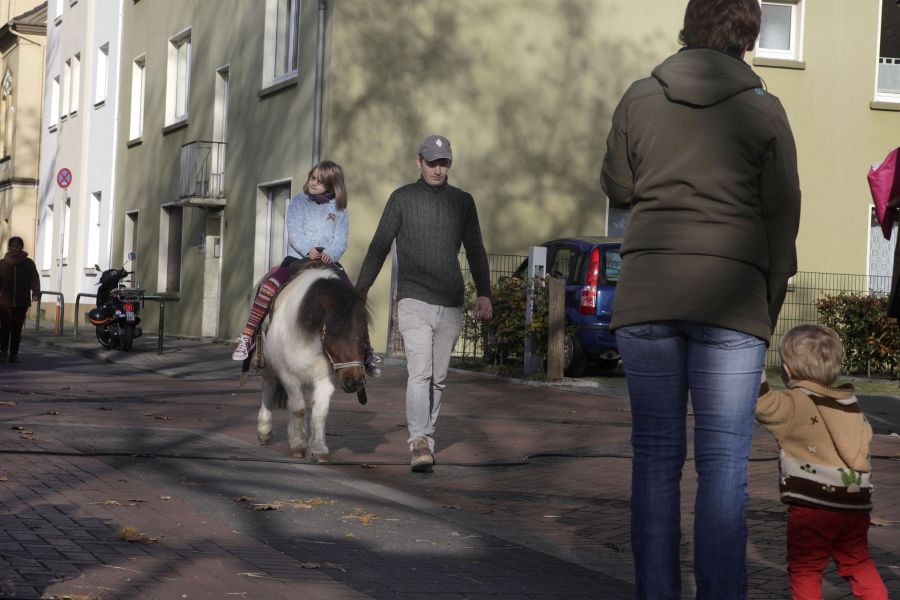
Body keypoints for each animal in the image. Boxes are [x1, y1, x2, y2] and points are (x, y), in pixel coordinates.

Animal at [255, 263, 369, 461]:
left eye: (364, 333)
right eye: (333, 333)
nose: (354, 381)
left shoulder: (325, 380)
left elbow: (320, 412)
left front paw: (318, 448)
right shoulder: (289, 376)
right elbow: (299, 409)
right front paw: (299, 446)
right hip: (268, 367)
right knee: (268, 388)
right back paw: (264, 430)